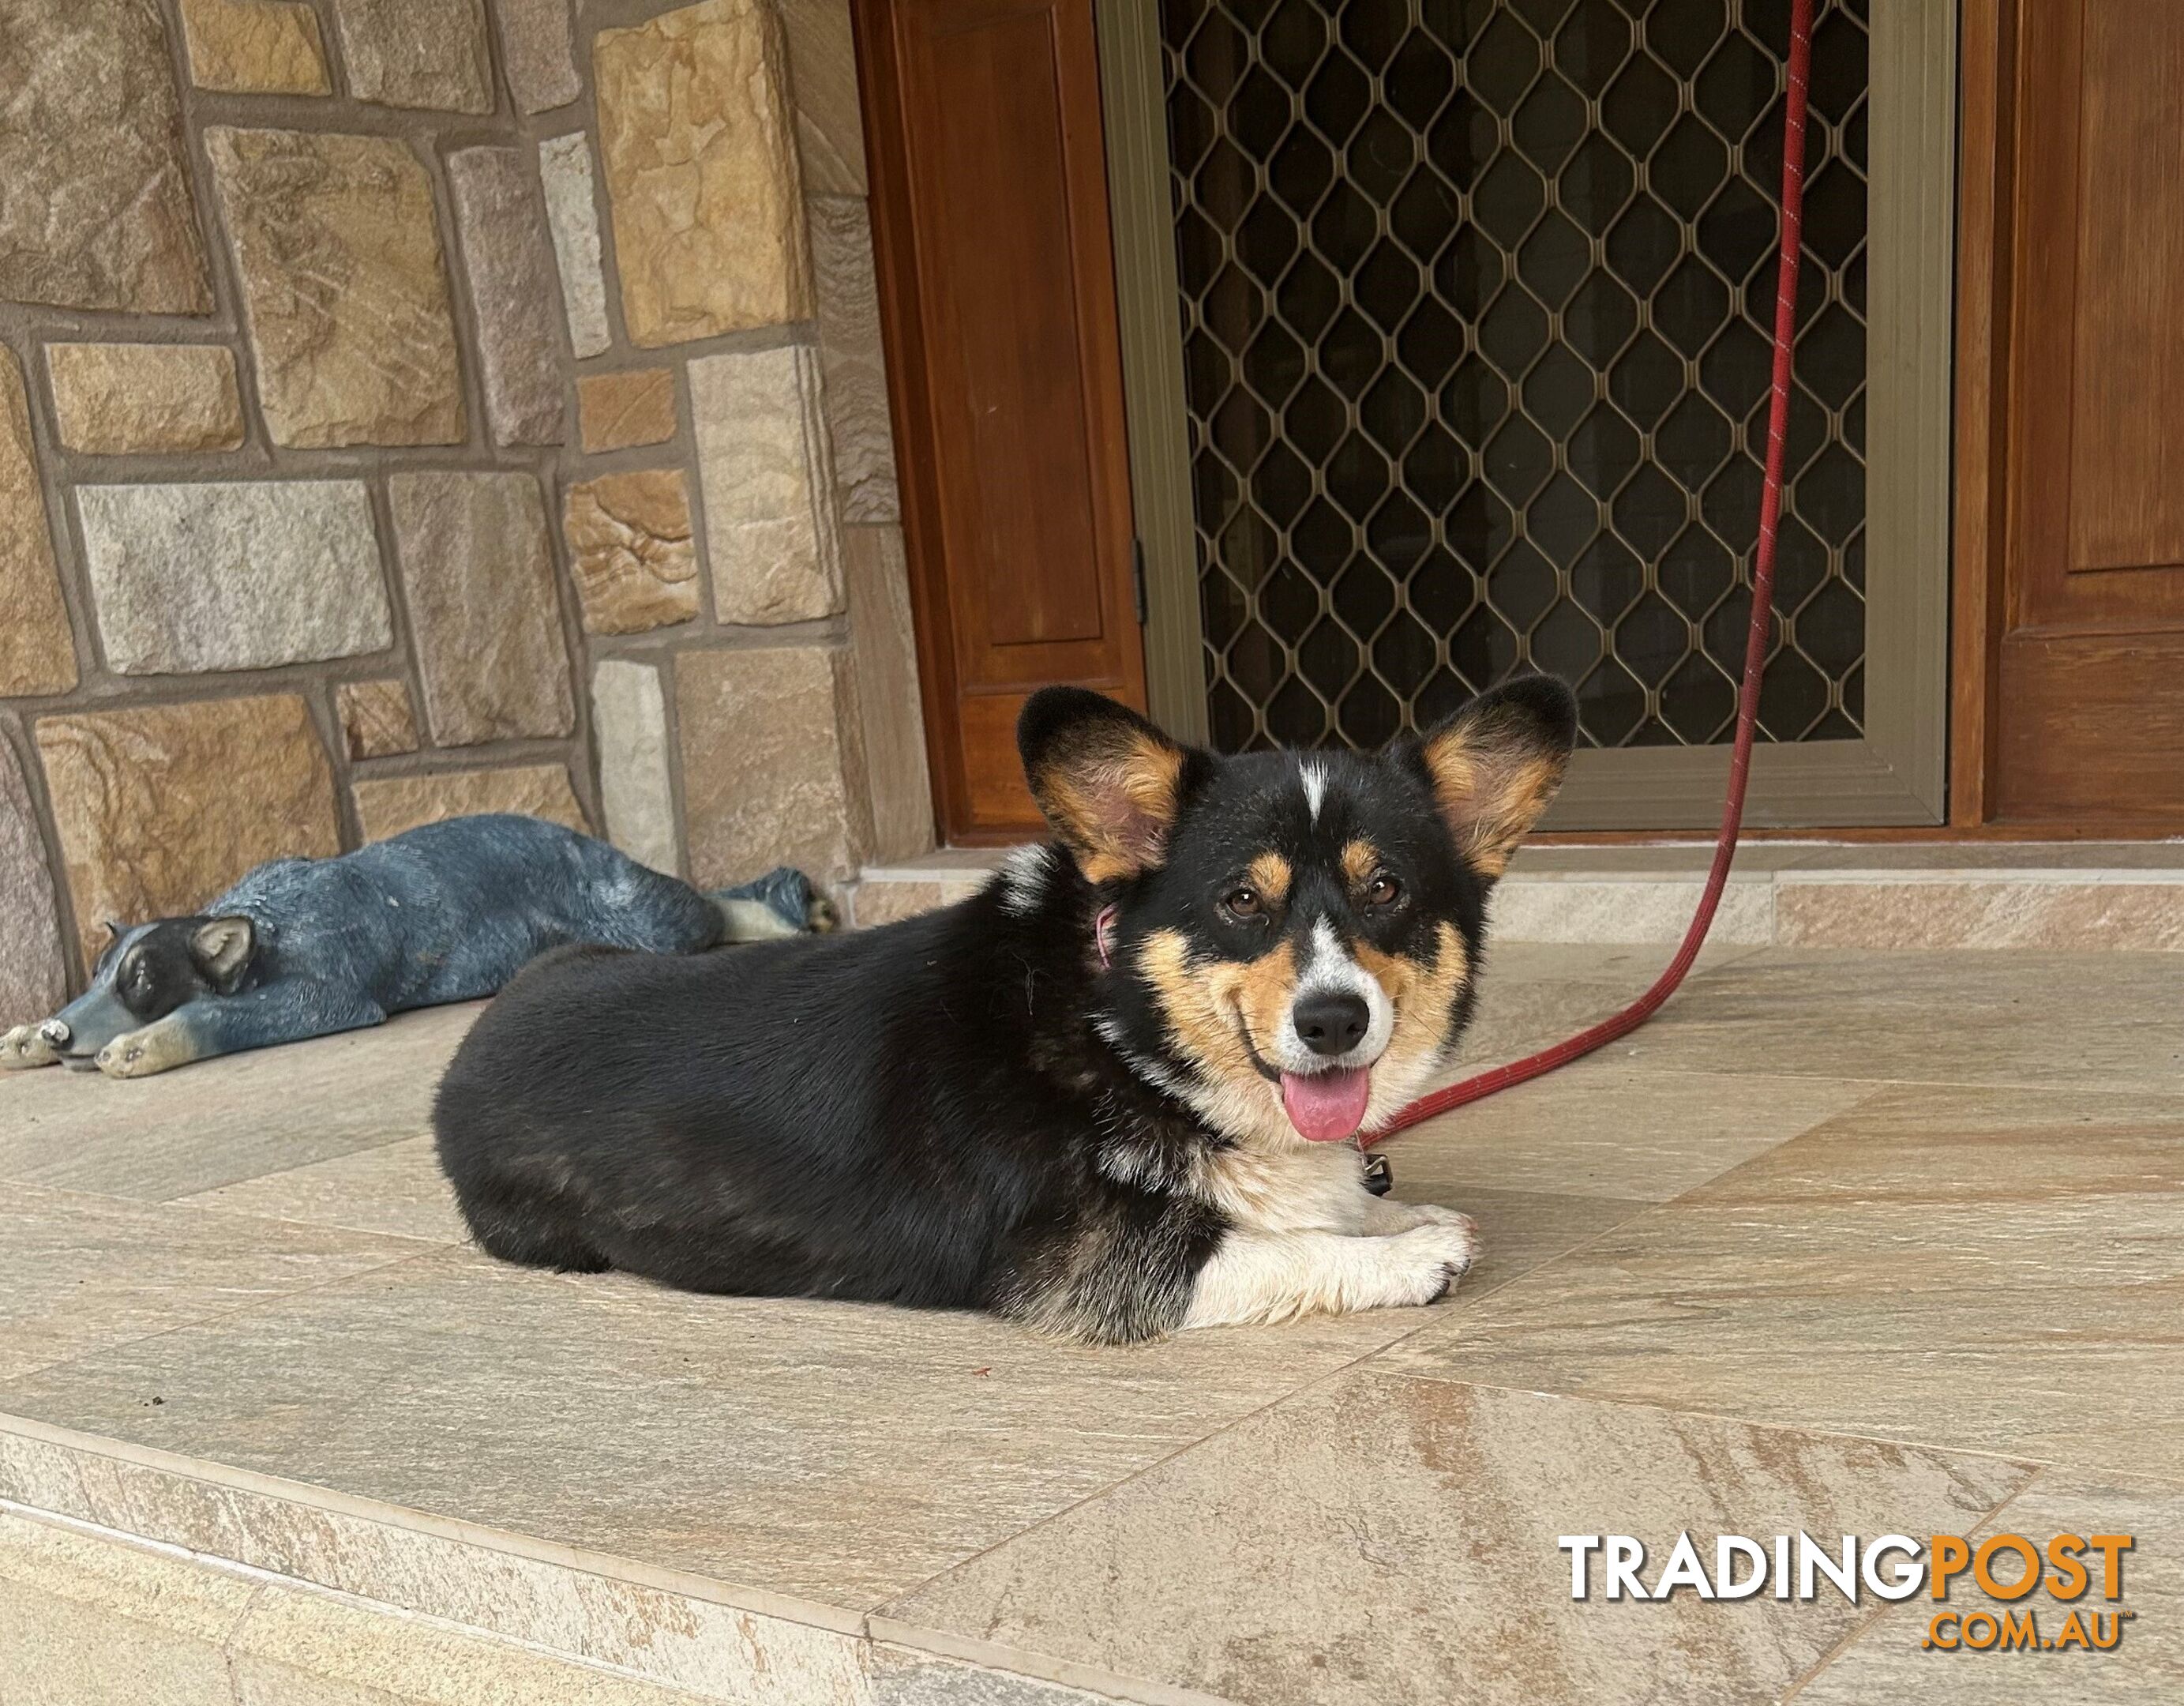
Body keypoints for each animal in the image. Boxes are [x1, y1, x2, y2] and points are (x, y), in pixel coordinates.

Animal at [434, 672, 1581, 1336]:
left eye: (1385, 888)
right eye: (1240, 901)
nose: (1333, 1021)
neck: (1119, 1024)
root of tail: (469, 1047)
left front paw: (1397, 1209)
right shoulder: (1091, 1269)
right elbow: (1280, 1248)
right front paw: (1406, 1253)